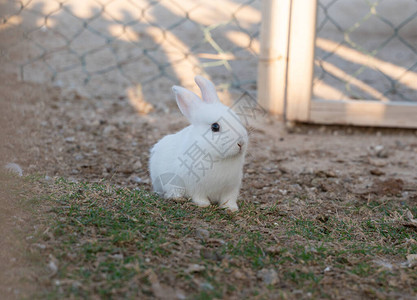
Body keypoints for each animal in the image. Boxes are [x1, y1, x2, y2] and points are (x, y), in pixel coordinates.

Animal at [150, 76, 247, 212]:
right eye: (215, 127)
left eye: (237, 118)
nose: (241, 143)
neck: (217, 157)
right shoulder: (195, 186)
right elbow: (199, 196)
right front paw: (204, 204)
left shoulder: (231, 187)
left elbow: (228, 199)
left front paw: (231, 208)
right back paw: (178, 198)